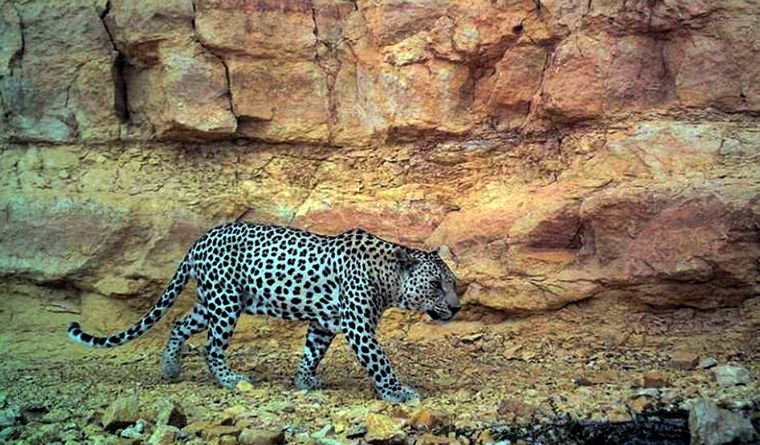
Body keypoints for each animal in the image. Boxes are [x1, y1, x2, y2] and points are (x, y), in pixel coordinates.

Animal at [67, 222, 461, 403]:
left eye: (452, 283)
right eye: (436, 285)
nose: (456, 306)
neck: (387, 277)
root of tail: (199, 240)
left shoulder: (323, 323)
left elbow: (312, 353)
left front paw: (304, 380)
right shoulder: (359, 327)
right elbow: (380, 362)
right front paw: (398, 392)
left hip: (212, 303)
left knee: (179, 324)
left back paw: (170, 369)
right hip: (225, 304)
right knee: (212, 347)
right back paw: (229, 379)